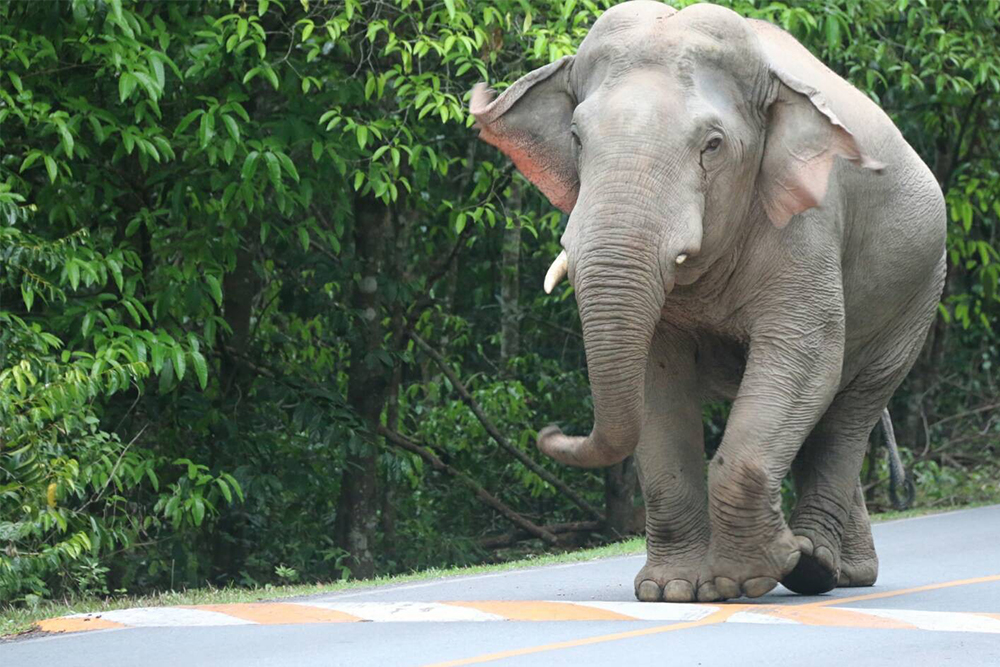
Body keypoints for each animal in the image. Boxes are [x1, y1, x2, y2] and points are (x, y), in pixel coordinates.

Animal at [468, 0, 944, 604]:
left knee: (847, 413)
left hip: (916, 298)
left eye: (712, 145)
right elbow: (657, 380)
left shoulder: (808, 225)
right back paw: (835, 567)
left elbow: (805, 358)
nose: (550, 432)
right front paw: (671, 591)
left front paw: (747, 578)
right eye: (576, 137)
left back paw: (817, 568)